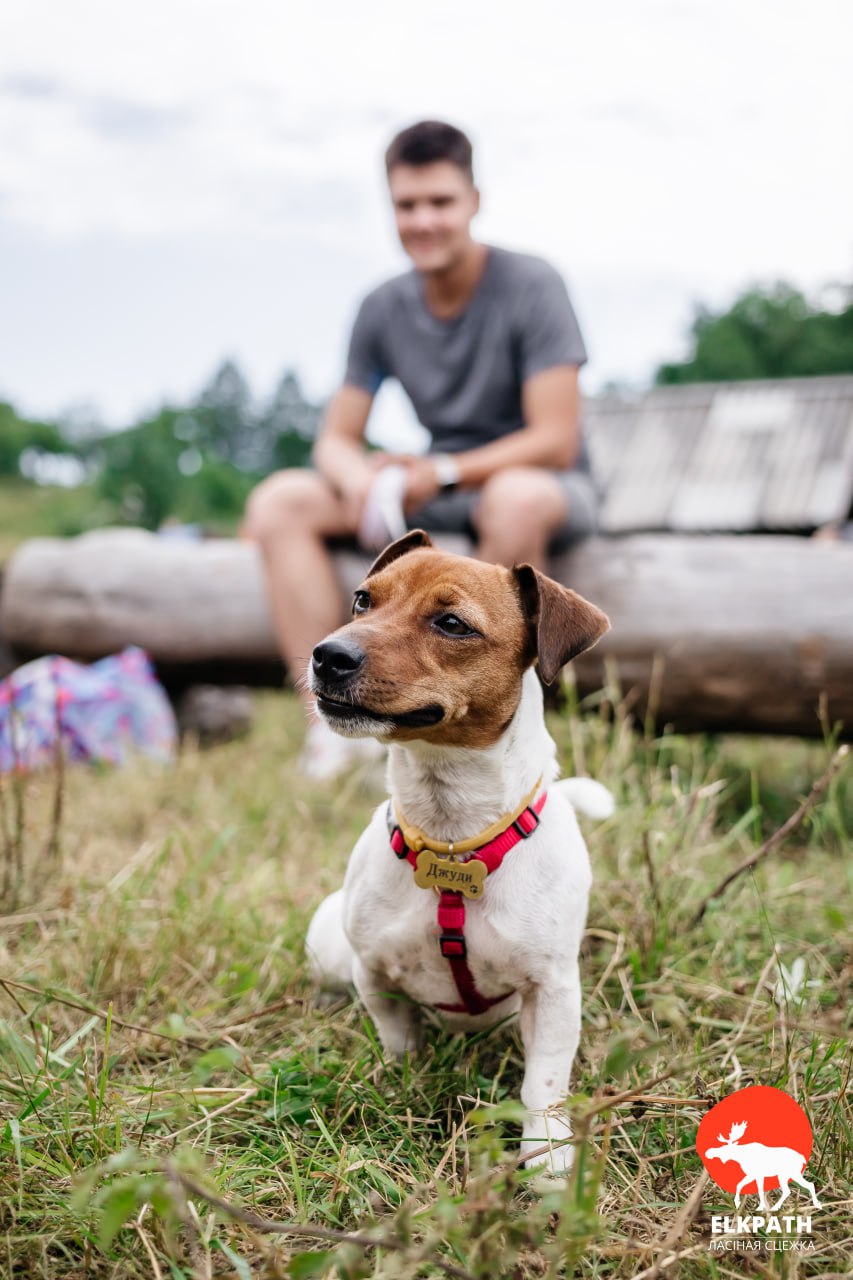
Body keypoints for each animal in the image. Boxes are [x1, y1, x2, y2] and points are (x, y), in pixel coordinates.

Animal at [306, 529, 612, 1172]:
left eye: (452, 623)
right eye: (363, 600)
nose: (327, 655)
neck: (451, 840)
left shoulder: (553, 991)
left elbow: (544, 1082)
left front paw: (546, 1157)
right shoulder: (375, 972)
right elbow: (399, 1040)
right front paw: (403, 1085)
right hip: (329, 947)